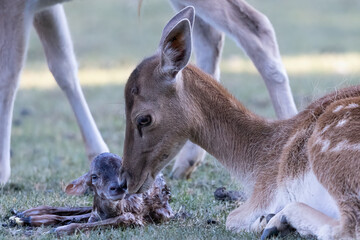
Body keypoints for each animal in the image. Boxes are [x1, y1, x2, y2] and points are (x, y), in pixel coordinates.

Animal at [120, 6, 360, 239]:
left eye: (143, 119)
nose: (124, 181)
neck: (254, 164)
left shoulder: (266, 190)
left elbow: (231, 218)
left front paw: (264, 220)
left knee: (347, 228)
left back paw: (275, 222)